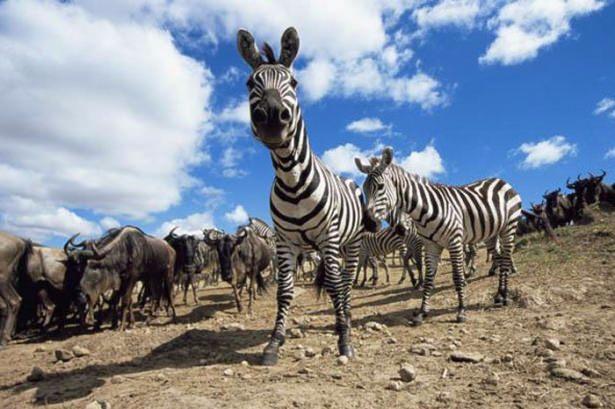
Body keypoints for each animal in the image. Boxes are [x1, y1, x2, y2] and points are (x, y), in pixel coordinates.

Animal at [238, 26, 368, 364]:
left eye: (293, 83)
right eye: (250, 83)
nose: (271, 116)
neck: (292, 179)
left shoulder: (328, 237)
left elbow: (335, 285)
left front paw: (344, 340)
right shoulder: (285, 243)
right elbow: (284, 291)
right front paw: (274, 342)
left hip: (350, 242)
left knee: (346, 281)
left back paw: (347, 320)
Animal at [356, 148, 524, 324]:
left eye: (381, 186)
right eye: (364, 189)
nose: (369, 224)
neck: (425, 211)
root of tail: (501, 180)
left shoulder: (454, 242)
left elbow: (457, 277)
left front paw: (461, 310)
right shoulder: (431, 246)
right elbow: (429, 278)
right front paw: (422, 312)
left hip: (508, 227)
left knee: (505, 258)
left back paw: (504, 295)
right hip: (491, 233)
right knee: (499, 257)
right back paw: (498, 294)